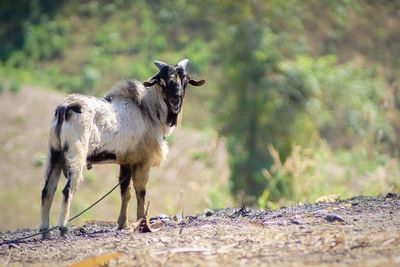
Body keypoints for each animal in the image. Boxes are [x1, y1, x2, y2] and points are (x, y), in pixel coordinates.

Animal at [39, 59, 206, 239]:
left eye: (186, 80)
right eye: (162, 82)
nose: (176, 99)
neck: (147, 110)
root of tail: (64, 108)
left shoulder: (126, 162)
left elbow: (125, 193)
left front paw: (122, 224)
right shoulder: (142, 162)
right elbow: (140, 192)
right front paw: (141, 222)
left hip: (55, 154)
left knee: (47, 191)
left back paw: (44, 232)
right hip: (75, 154)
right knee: (66, 190)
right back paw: (63, 229)